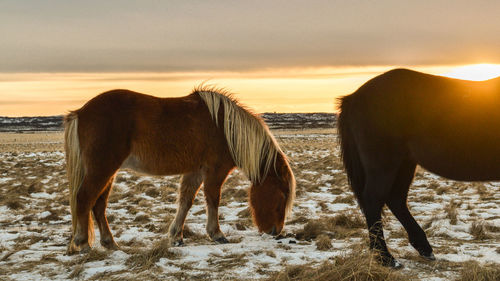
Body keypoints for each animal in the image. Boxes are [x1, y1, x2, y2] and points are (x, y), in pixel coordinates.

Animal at [64, 86, 294, 253]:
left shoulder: (195, 171)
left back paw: (110, 243)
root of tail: (81, 113)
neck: (225, 128)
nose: (276, 232)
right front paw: (216, 234)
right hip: (102, 169)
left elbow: (186, 201)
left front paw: (176, 236)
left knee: (98, 205)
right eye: (283, 196)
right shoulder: (215, 171)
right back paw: (83, 243)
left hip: (108, 172)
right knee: (84, 199)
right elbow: (213, 200)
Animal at [338, 68, 500, 266]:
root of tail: (354, 97)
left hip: (405, 164)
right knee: (374, 200)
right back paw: (386, 258)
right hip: (385, 165)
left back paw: (423, 248)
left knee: (396, 200)